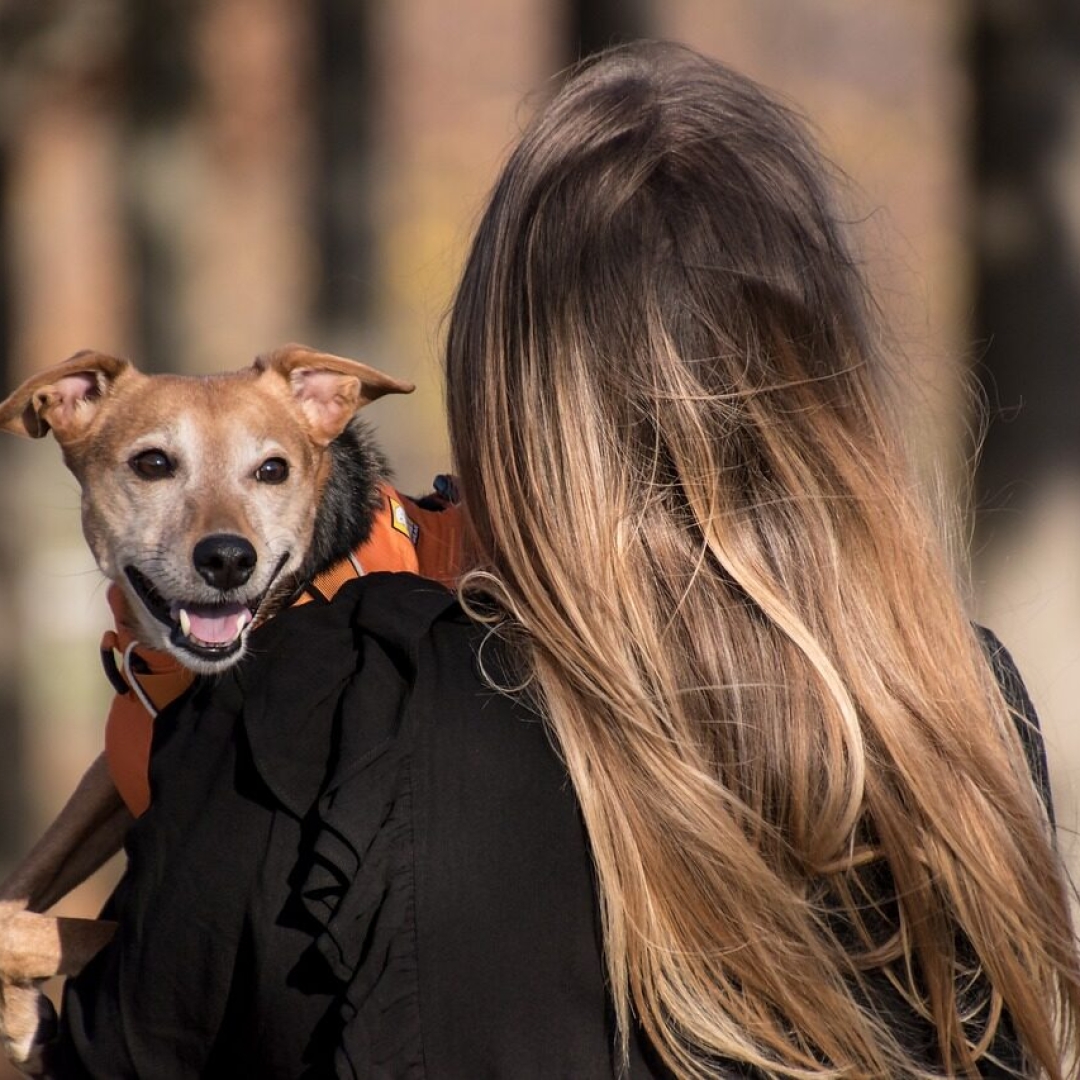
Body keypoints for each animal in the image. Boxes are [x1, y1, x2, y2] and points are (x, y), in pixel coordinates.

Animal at [0, 343, 460, 1071]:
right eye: (152, 463)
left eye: (273, 469)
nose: (226, 559)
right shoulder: (110, 775)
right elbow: (19, 891)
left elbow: (40, 931)